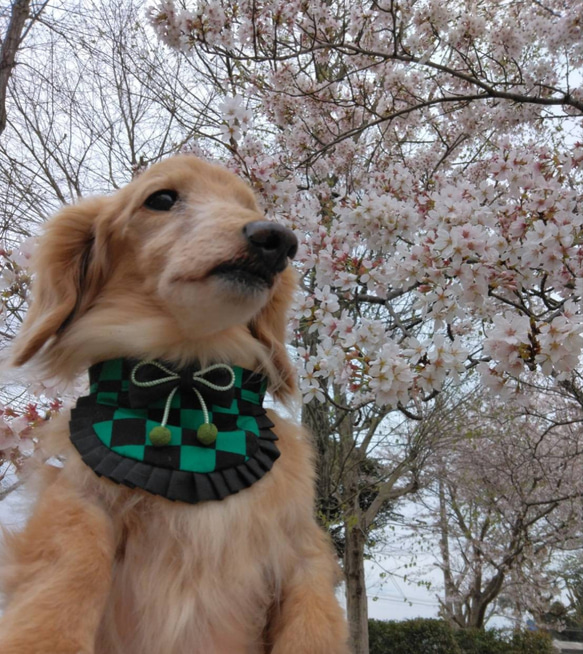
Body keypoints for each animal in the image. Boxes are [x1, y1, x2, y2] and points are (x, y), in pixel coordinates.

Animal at [0, 155, 350, 654]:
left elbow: (311, 626)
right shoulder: (80, 495)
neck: (187, 384)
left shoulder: (304, 548)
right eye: (161, 198)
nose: (278, 240)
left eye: (250, 207)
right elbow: (72, 564)